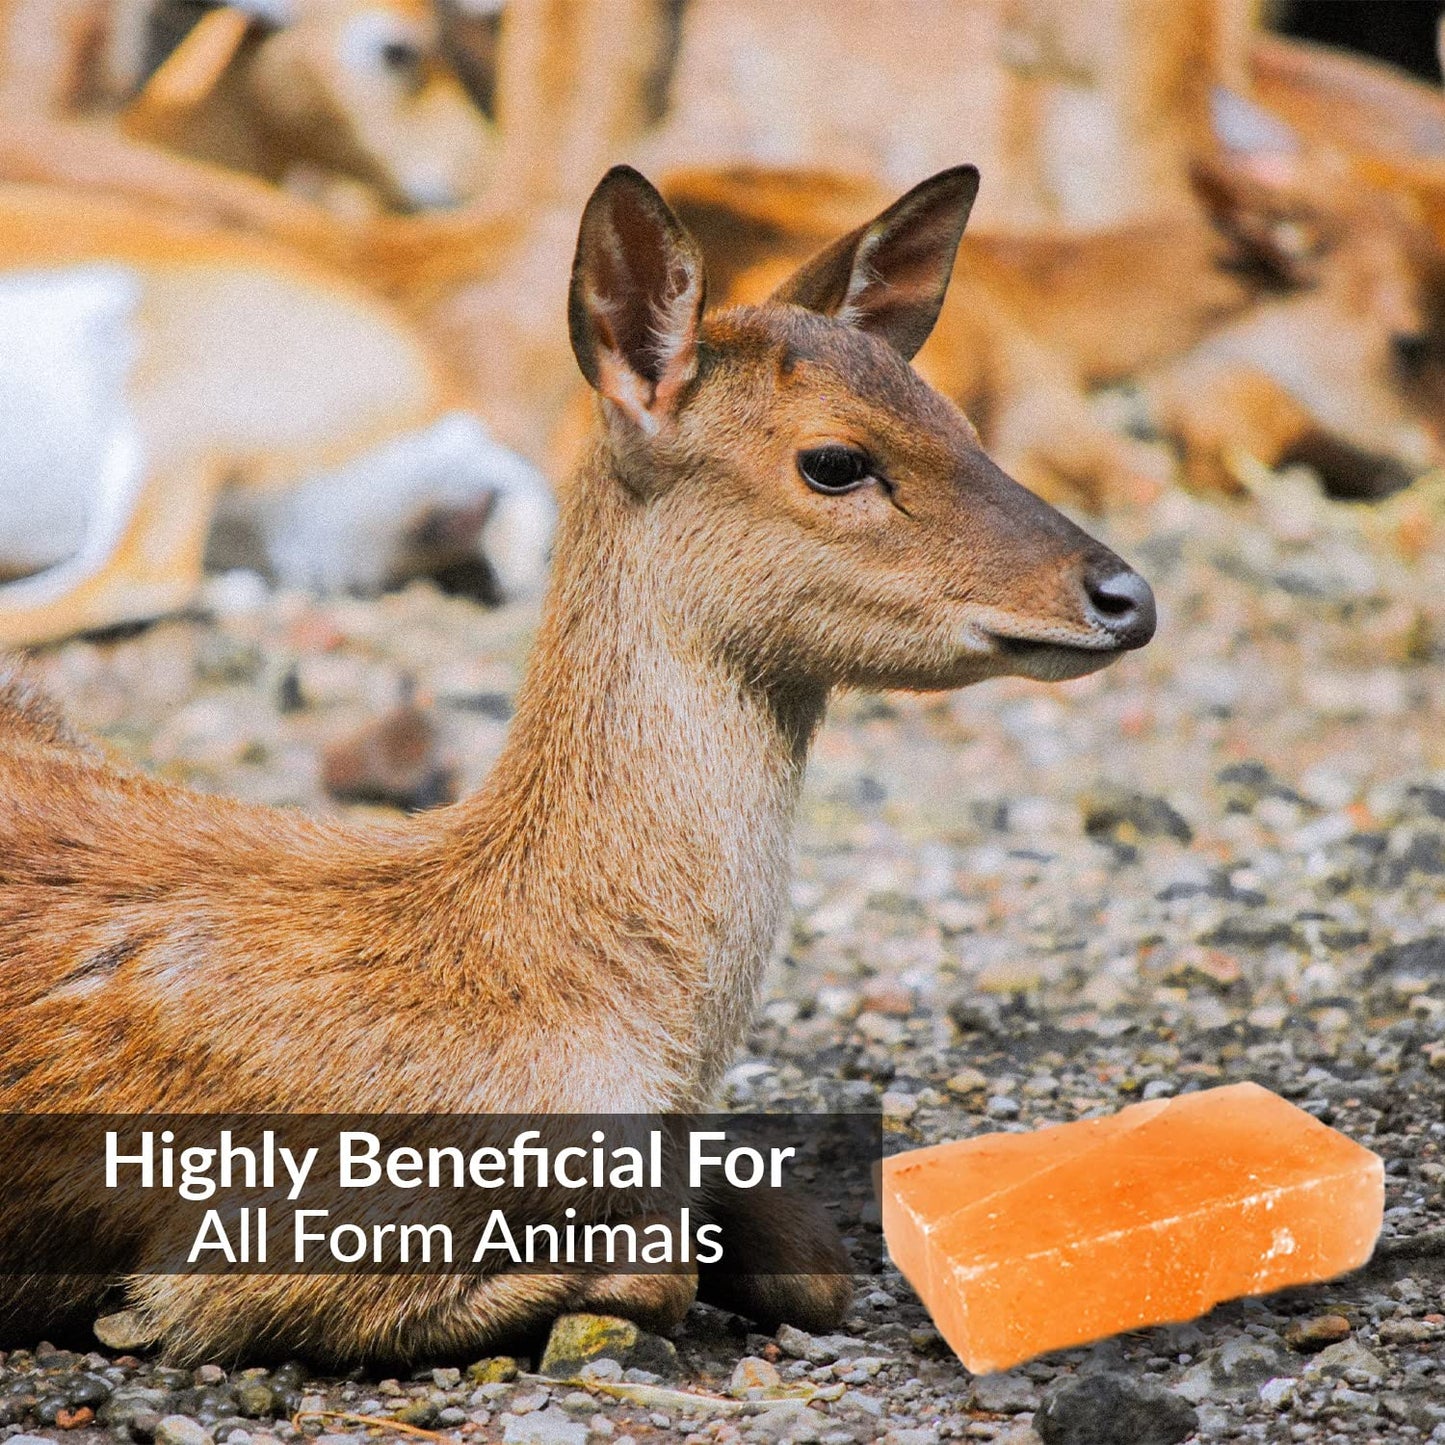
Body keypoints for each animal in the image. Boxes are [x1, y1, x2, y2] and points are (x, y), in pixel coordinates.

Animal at [0, 163, 1155, 1365]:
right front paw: (117, 1312)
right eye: (834, 460)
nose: (1125, 594)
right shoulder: (269, 1242)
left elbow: (807, 1257)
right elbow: (651, 1273)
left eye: (961, 418)